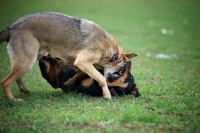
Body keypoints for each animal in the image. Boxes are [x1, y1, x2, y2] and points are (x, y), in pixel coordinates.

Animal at [0, 11, 138, 100]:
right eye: (122, 68)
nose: (129, 64)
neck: (111, 51)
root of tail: (12, 27)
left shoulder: (77, 62)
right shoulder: (82, 61)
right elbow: (101, 78)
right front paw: (107, 94)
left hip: (32, 58)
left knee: (15, 77)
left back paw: (23, 90)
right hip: (27, 62)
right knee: (5, 82)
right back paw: (14, 100)